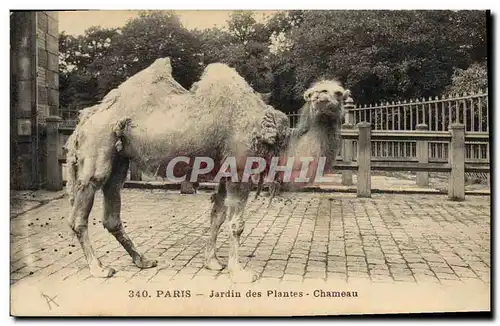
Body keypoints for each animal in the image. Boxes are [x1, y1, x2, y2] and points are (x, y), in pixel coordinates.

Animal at [64, 58, 350, 282]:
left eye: (339, 93)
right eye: (314, 93)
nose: (322, 98)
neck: (275, 139)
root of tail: (85, 118)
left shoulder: (225, 172)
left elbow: (217, 216)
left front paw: (212, 262)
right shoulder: (240, 170)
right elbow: (236, 224)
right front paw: (239, 273)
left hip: (119, 158)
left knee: (112, 209)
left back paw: (143, 260)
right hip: (98, 145)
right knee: (83, 207)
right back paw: (99, 268)